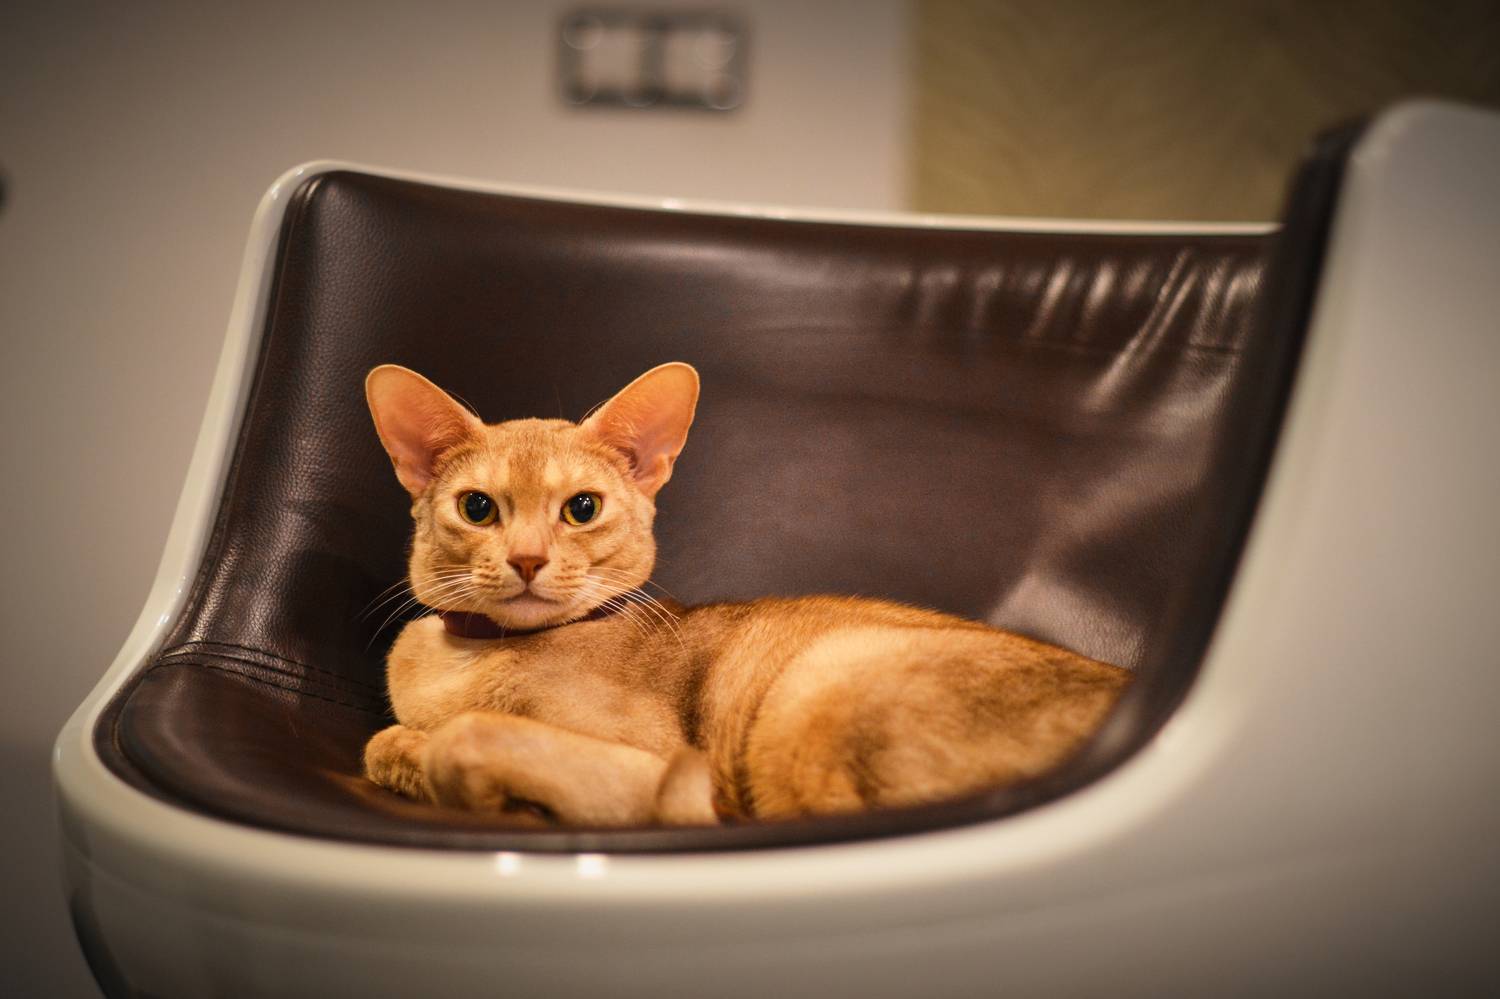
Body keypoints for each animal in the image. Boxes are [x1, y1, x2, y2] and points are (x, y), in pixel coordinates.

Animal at [362, 361, 1131, 826]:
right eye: (477, 508)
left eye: (581, 508)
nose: (526, 559)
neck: (469, 659)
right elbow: (385, 742)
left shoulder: (656, 769)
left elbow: (458, 736)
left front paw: (480, 785)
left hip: (822, 678)